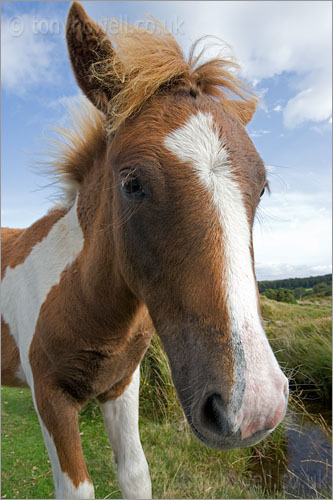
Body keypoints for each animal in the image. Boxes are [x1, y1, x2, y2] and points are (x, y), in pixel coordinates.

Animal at [1, 1, 286, 498]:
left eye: (263, 187)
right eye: (132, 182)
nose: (251, 408)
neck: (82, 301)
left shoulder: (122, 385)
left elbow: (135, 473)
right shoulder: (49, 399)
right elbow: (78, 489)